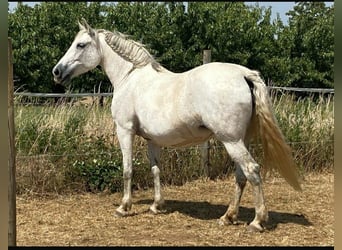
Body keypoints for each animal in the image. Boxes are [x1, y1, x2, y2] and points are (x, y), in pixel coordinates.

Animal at [52, 19, 300, 232]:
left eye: (81, 44)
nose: (57, 72)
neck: (130, 77)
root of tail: (244, 74)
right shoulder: (151, 140)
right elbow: (155, 170)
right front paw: (156, 206)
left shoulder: (125, 131)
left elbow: (127, 170)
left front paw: (124, 207)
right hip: (240, 140)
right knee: (241, 175)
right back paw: (228, 217)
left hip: (231, 140)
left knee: (252, 170)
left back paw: (257, 221)